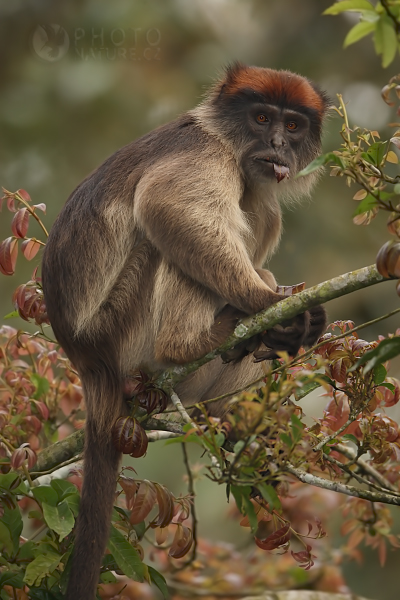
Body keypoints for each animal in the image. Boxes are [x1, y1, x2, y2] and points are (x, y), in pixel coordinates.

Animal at [39, 64, 328, 600]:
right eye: (261, 118)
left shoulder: (264, 199)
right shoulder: (204, 152)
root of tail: (88, 361)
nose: (277, 143)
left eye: (293, 126)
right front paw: (266, 306)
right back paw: (192, 343)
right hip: (121, 327)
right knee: (165, 240)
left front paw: (286, 325)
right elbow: (169, 206)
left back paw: (235, 406)